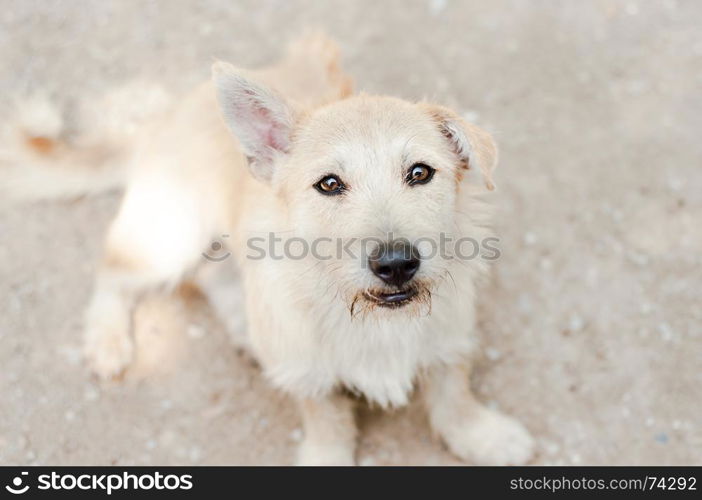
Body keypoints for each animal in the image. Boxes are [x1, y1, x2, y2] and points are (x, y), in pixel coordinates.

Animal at [8, 34, 536, 464]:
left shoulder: (450, 337)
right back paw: (106, 340)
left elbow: (453, 395)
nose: (396, 264)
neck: (370, 319)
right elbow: (326, 424)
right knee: (113, 272)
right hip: (167, 237)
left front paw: (483, 436)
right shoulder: (306, 369)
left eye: (421, 173)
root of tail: (165, 118)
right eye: (329, 184)